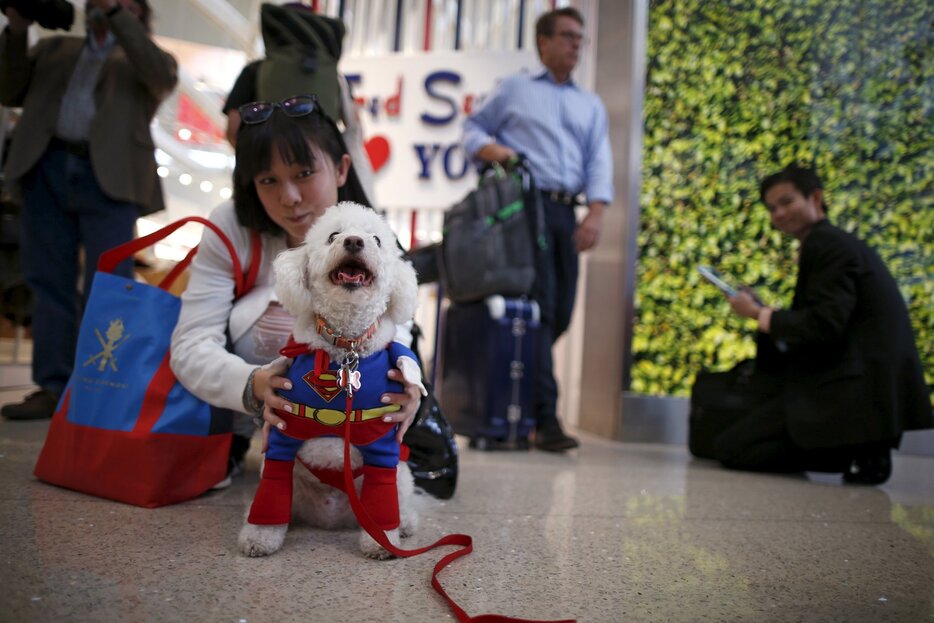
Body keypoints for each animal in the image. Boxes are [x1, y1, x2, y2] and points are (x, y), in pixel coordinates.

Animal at [241, 204, 432, 560]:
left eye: (376, 240)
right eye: (333, 235)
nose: (355, 241)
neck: (346, 346)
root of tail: (330, 517)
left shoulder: (382, 443)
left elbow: (382, 501)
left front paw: (381, 540)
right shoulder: (283, 435)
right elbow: (271, 490)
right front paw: (259, 536)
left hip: (402, 474)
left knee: (400, 499)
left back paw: (405, 523)